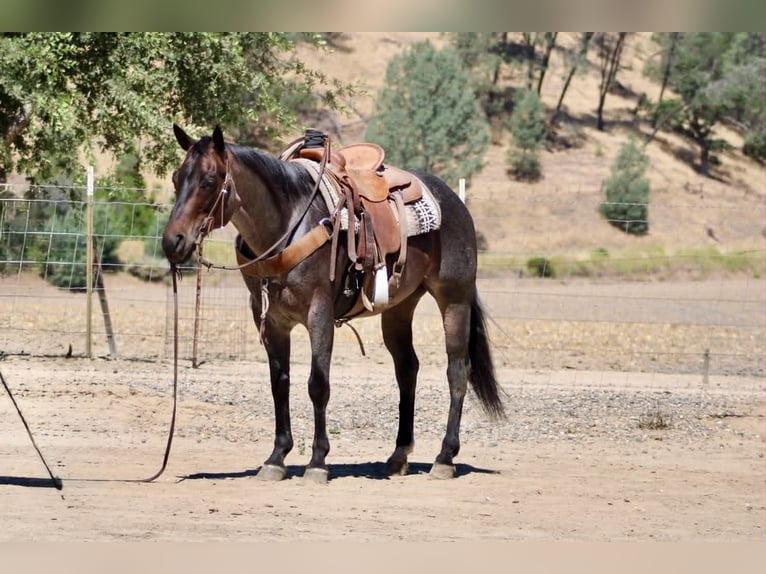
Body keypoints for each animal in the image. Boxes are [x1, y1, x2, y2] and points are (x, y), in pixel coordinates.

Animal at [162, 124, 505, 483]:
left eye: (208, 181)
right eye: (175, 177)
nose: (173, 242)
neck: (288, 222)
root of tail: (454, 200)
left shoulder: (320, 313)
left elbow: (318, 384)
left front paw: (317, 461)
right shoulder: (270, 319)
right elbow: (279, 383)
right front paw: (276, 458)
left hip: (454, 300)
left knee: (457, 371)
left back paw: (444, 458)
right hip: (399, 309)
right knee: (407, 369)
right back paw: (398, 456)